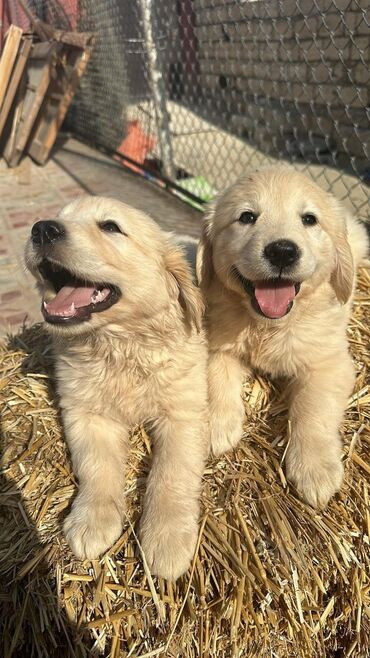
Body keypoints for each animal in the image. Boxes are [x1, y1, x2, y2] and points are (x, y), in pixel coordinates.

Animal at [25, 195, 208, 580]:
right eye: (59, 217)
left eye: (110, 226)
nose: (42, 229)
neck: (120, 345)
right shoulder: (85, 413)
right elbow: (97, 466)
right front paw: (92, 521)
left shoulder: (184, 413)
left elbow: (172, 472)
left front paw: (167, 538)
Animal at [197, 167, 368, 504]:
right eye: (247, 217)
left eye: (309, 219)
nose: (282, 252)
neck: (270, 325)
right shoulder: (218, 344)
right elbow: (217, 378)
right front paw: (217, 425)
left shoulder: (329, 364)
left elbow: (314, 408)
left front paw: (315, 469)